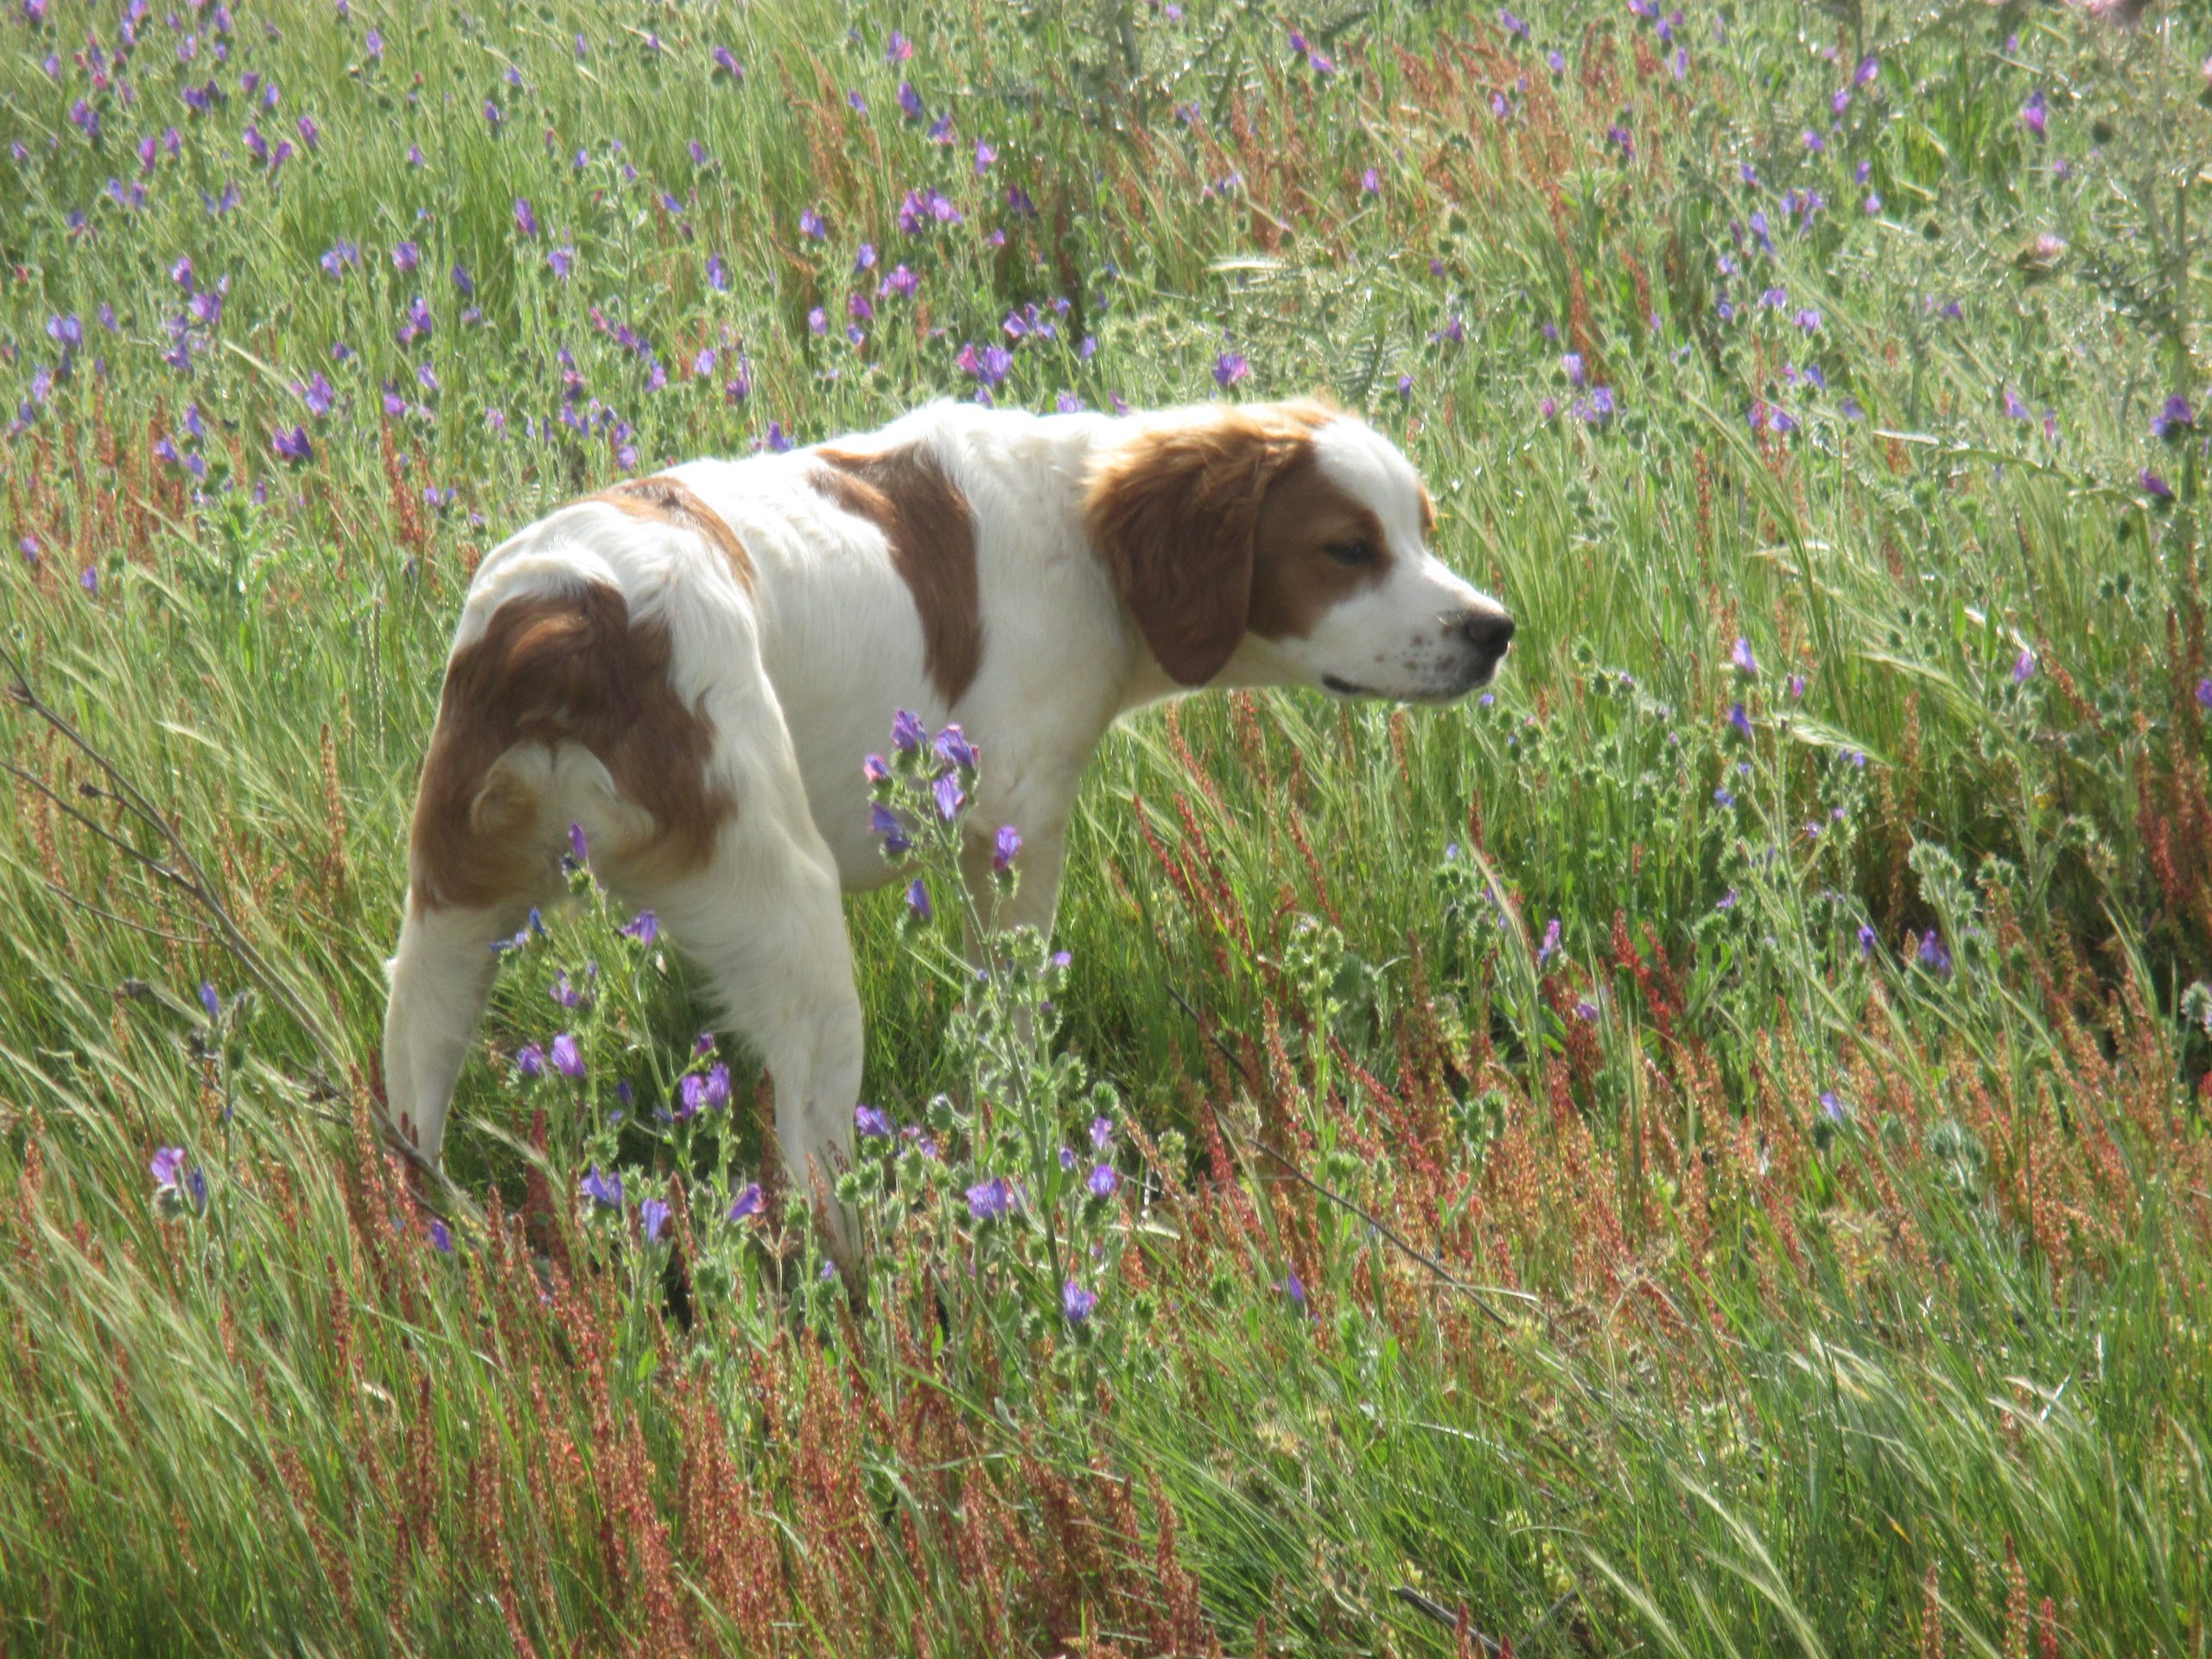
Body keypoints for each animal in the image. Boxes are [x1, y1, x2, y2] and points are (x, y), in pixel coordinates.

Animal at [382, 397, 1513, 1246]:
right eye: (1347, 548)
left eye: (1421, 530)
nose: (1494, 630)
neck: (1083, 533)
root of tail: (565, 619)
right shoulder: (1014, 834)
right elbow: (1006, 1027)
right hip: (793, 928)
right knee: (821, 1181)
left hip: (445, 928)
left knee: (408, 1123)